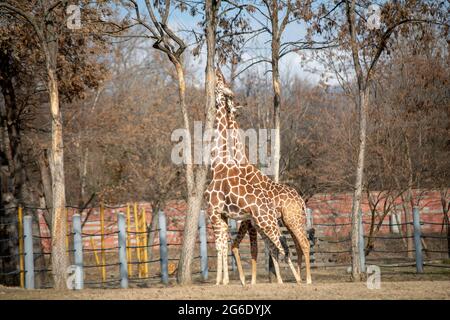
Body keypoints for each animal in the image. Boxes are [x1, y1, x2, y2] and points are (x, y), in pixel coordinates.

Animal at [203, 67, 300, 284]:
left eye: (219, 82)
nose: (215, 69)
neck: (218, 164)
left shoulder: (213, 212)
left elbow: (221, 245)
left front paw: (220, 281)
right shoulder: (223, 215)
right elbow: (225, 245)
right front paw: (226, 280)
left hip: (268, 222)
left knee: (284, 248)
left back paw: (298, 280)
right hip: (267, 222)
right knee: (280, 247)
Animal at [225, 91, 312, 284]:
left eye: (232, 107)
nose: (230, 106)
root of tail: (300, 200)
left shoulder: (249, 221)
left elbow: (257, 249)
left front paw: (253, 281)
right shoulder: (251, 221)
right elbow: (264, 249)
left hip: (292, 219)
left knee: (303, 243)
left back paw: (308, 279)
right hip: (290, 220)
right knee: (297, 246)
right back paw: (299, 277)